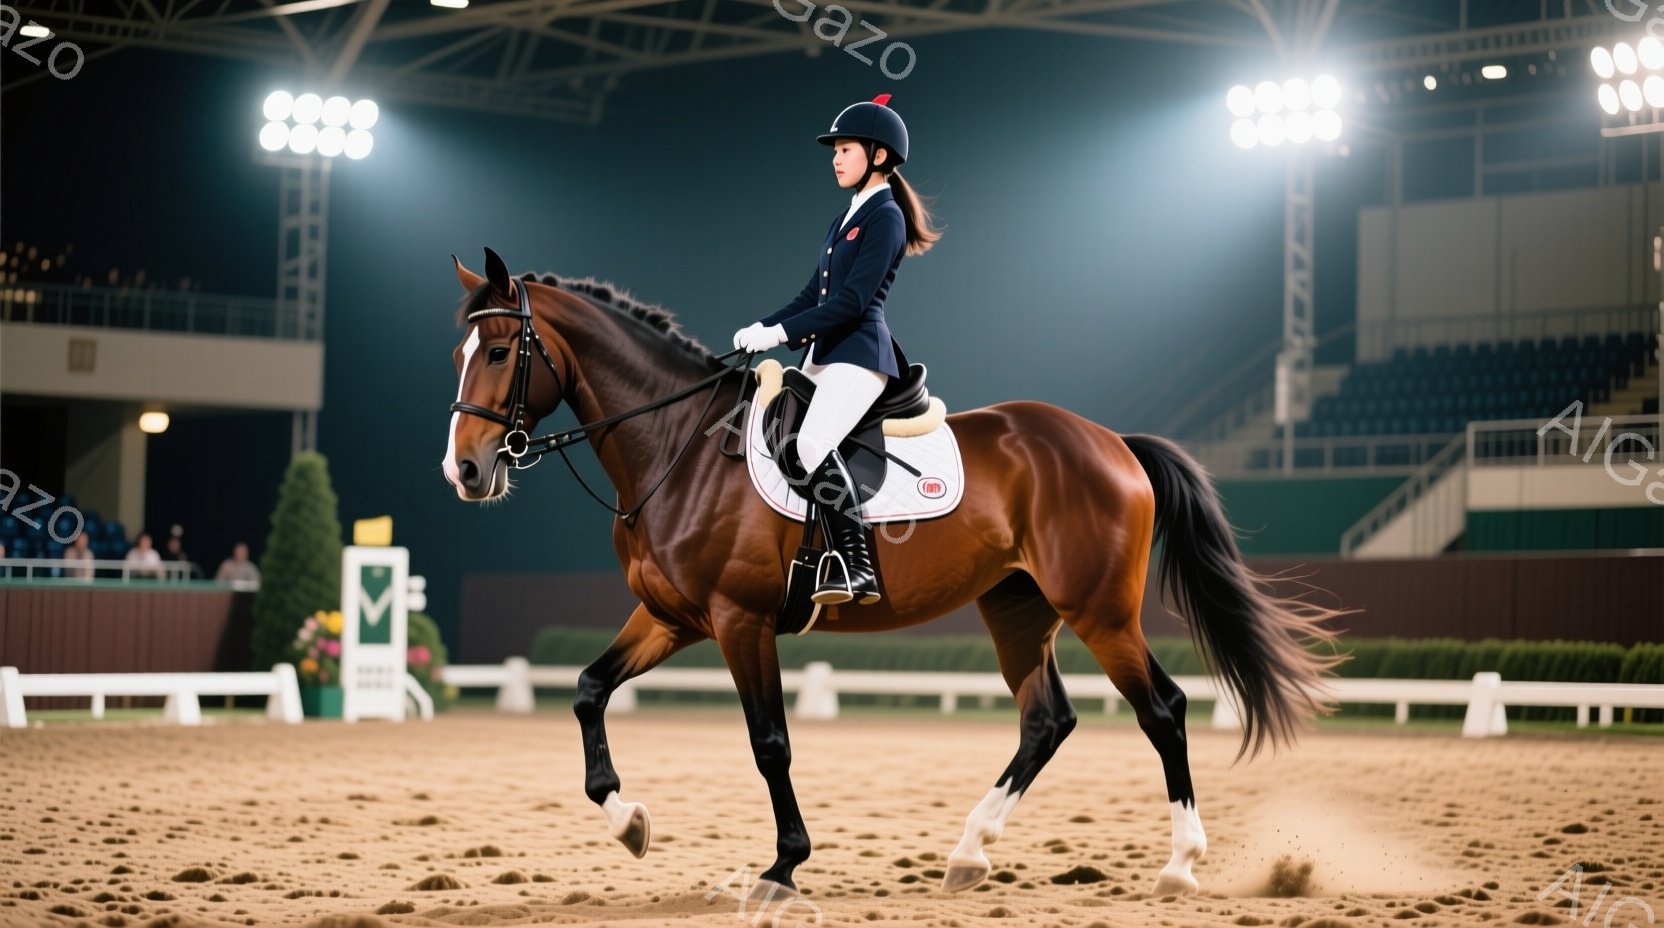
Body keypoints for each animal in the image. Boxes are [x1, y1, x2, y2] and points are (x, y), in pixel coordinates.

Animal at [441, 247, 1345, 902]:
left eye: (499, 351)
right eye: (460, 351)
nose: (466, 473)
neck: (680, 447)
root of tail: (1111, 440)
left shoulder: (739, 620)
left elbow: (769, 742)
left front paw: (783, 866)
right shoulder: (672, 617)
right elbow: (588, 689)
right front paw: (627, 818)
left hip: (1100, 610)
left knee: (1162, 709)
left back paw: (1179, 866)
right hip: (1016, 608)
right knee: (1046, 720)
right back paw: (970, 854)